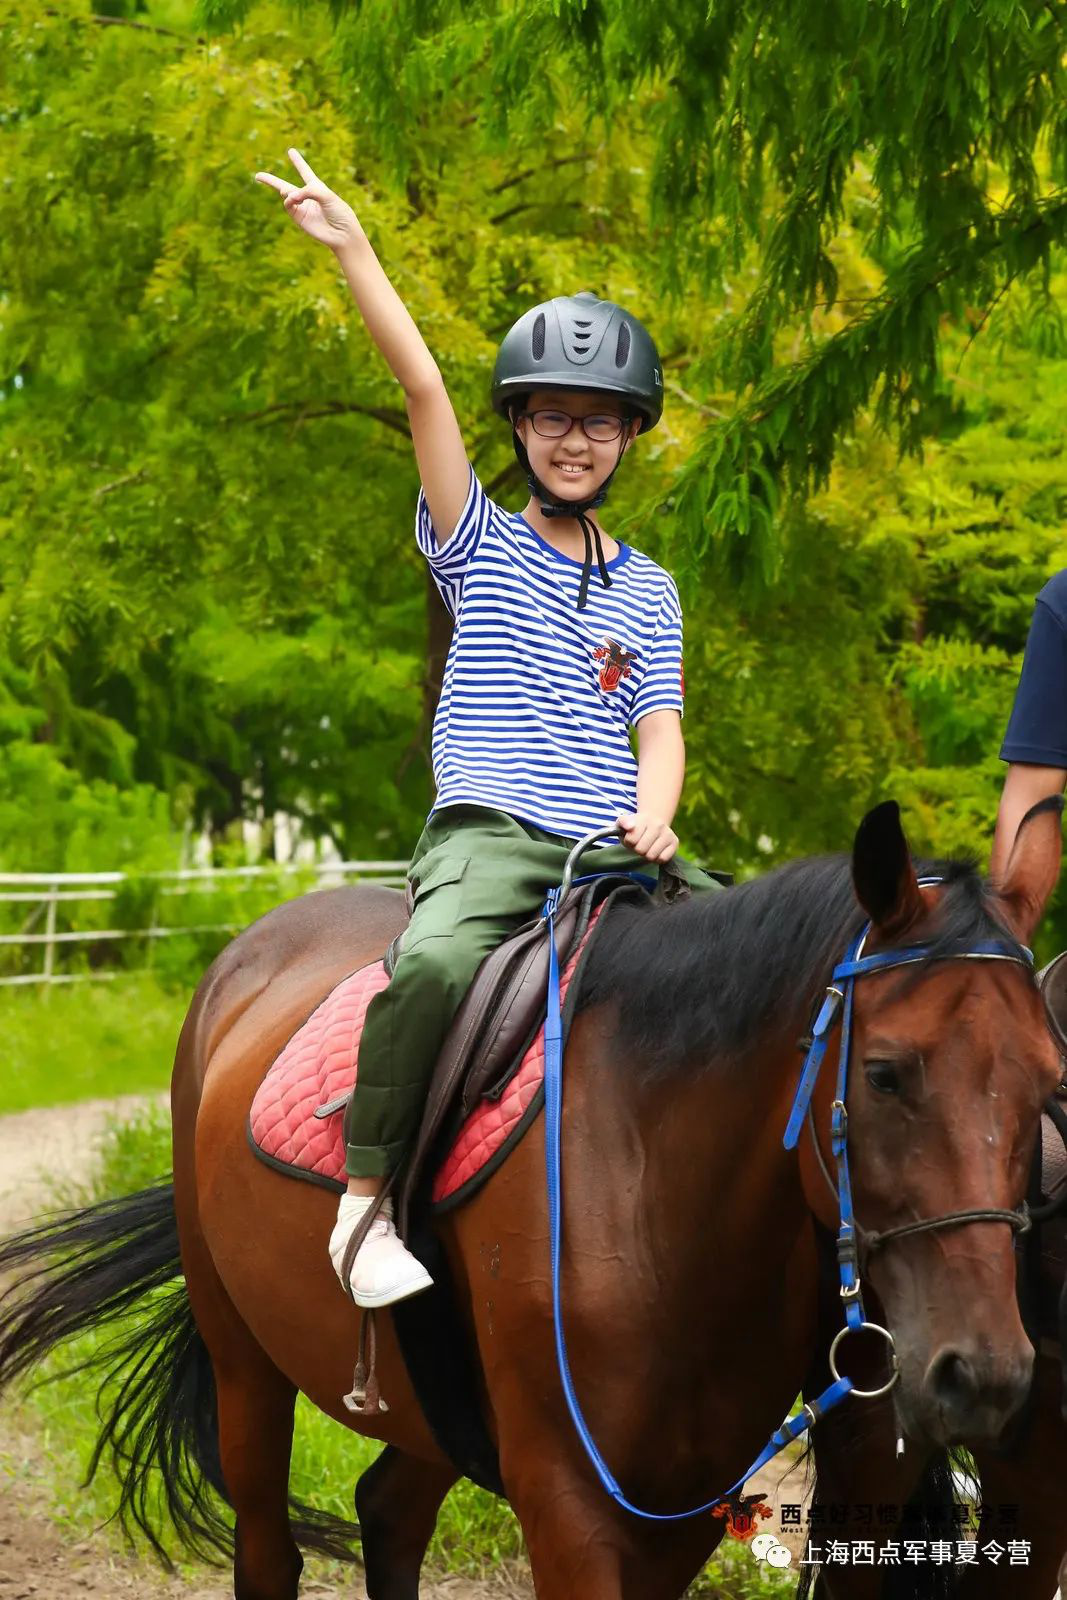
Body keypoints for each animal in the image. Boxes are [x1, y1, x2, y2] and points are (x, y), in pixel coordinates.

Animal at [0, 800, 1062, 1600]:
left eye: (1050, 1079)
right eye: (882, 1075)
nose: (984, 1373)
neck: (655, 1184)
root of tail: (240, 960)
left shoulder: (680, 1509)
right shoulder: (569, 1503)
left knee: (389, 1512)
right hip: (244, 1366)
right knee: (269, 1553)